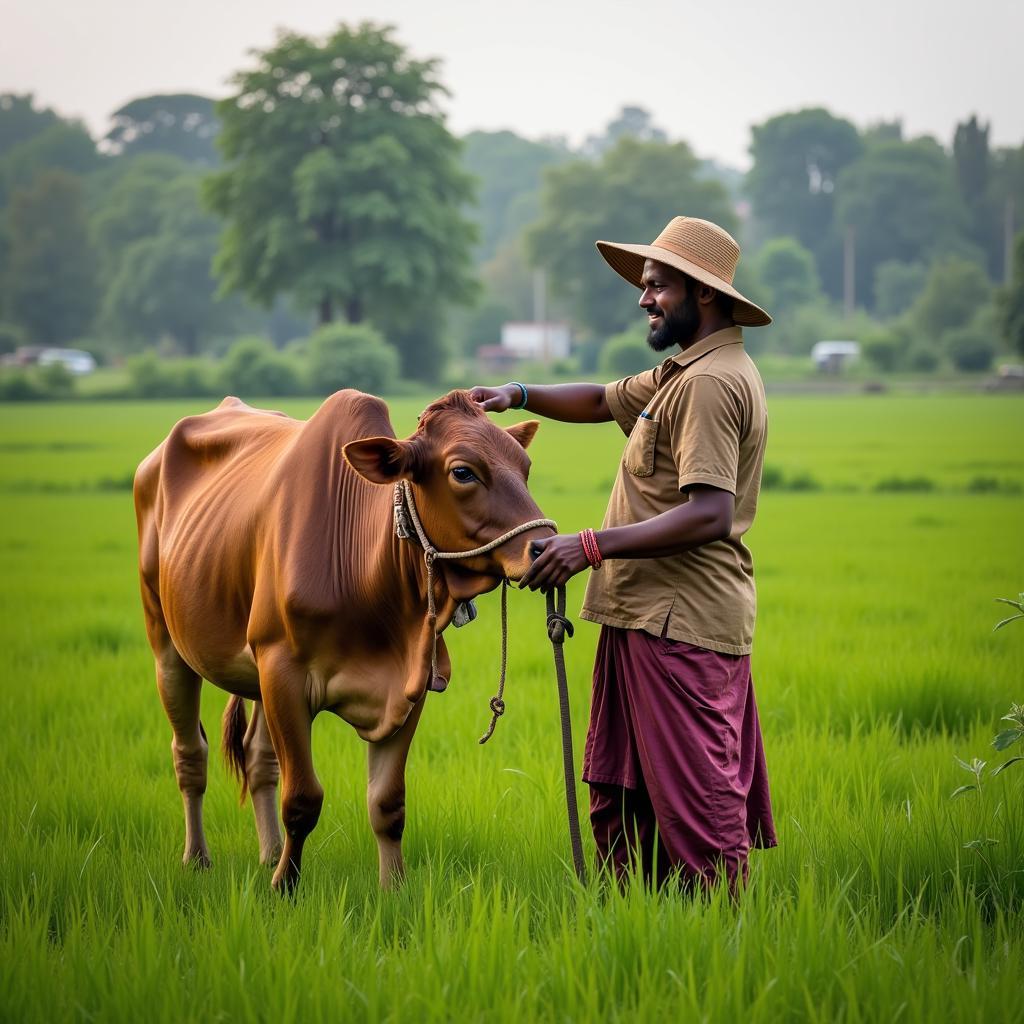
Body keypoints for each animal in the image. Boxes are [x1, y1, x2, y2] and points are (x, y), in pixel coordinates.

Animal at [138, 387, 552, 892]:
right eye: (462, 472)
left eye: (524, 467)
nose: (544, 546)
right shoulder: (283, 673)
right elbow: (302, 798)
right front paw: (285, 888)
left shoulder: (411, 684)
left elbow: (387, 802)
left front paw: (394, 889)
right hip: (166, 642)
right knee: (190, 755)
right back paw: (197, 858)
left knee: (257, 758)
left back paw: (269, 853)